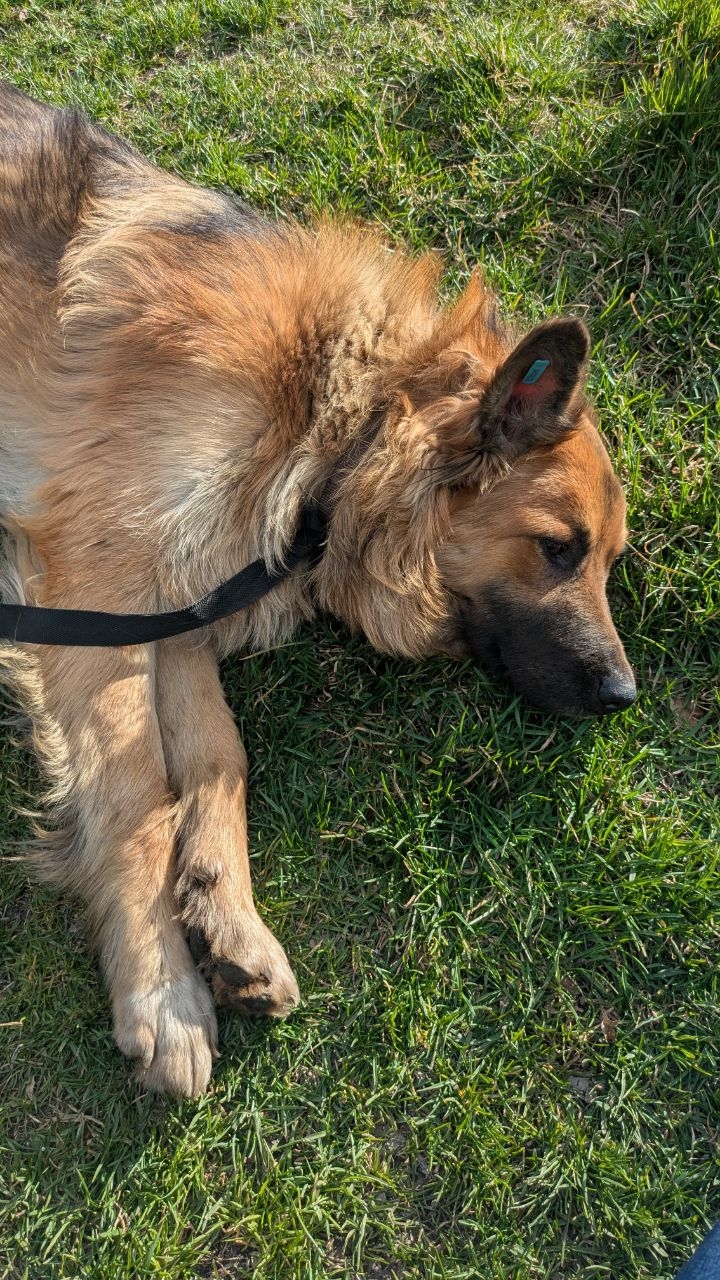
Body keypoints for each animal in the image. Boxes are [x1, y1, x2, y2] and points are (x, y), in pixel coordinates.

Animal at [0, 83, 636, 1095]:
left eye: (609, 560)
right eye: (559, 550)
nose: (625, 694)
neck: (336, 418)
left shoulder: (177, 598)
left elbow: (216, 758)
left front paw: (227, 914)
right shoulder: (98, 581)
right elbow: (136, 796)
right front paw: (160, 990)